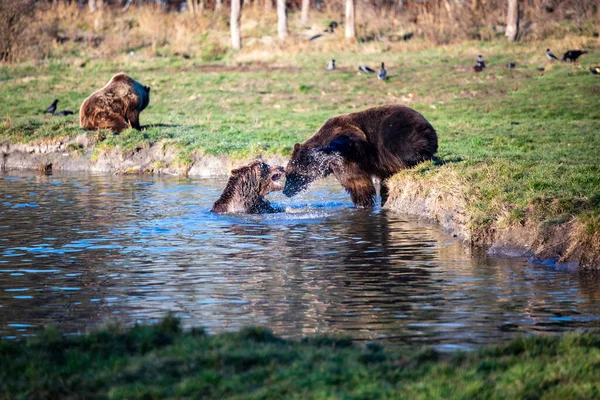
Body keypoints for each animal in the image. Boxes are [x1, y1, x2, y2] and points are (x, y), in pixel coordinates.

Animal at [284, 104, 438, 208]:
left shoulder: (350, 144)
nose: (286, 191)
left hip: (396, 131)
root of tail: (427, 125)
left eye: (290, 174)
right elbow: (355, 184)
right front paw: (363, 202)